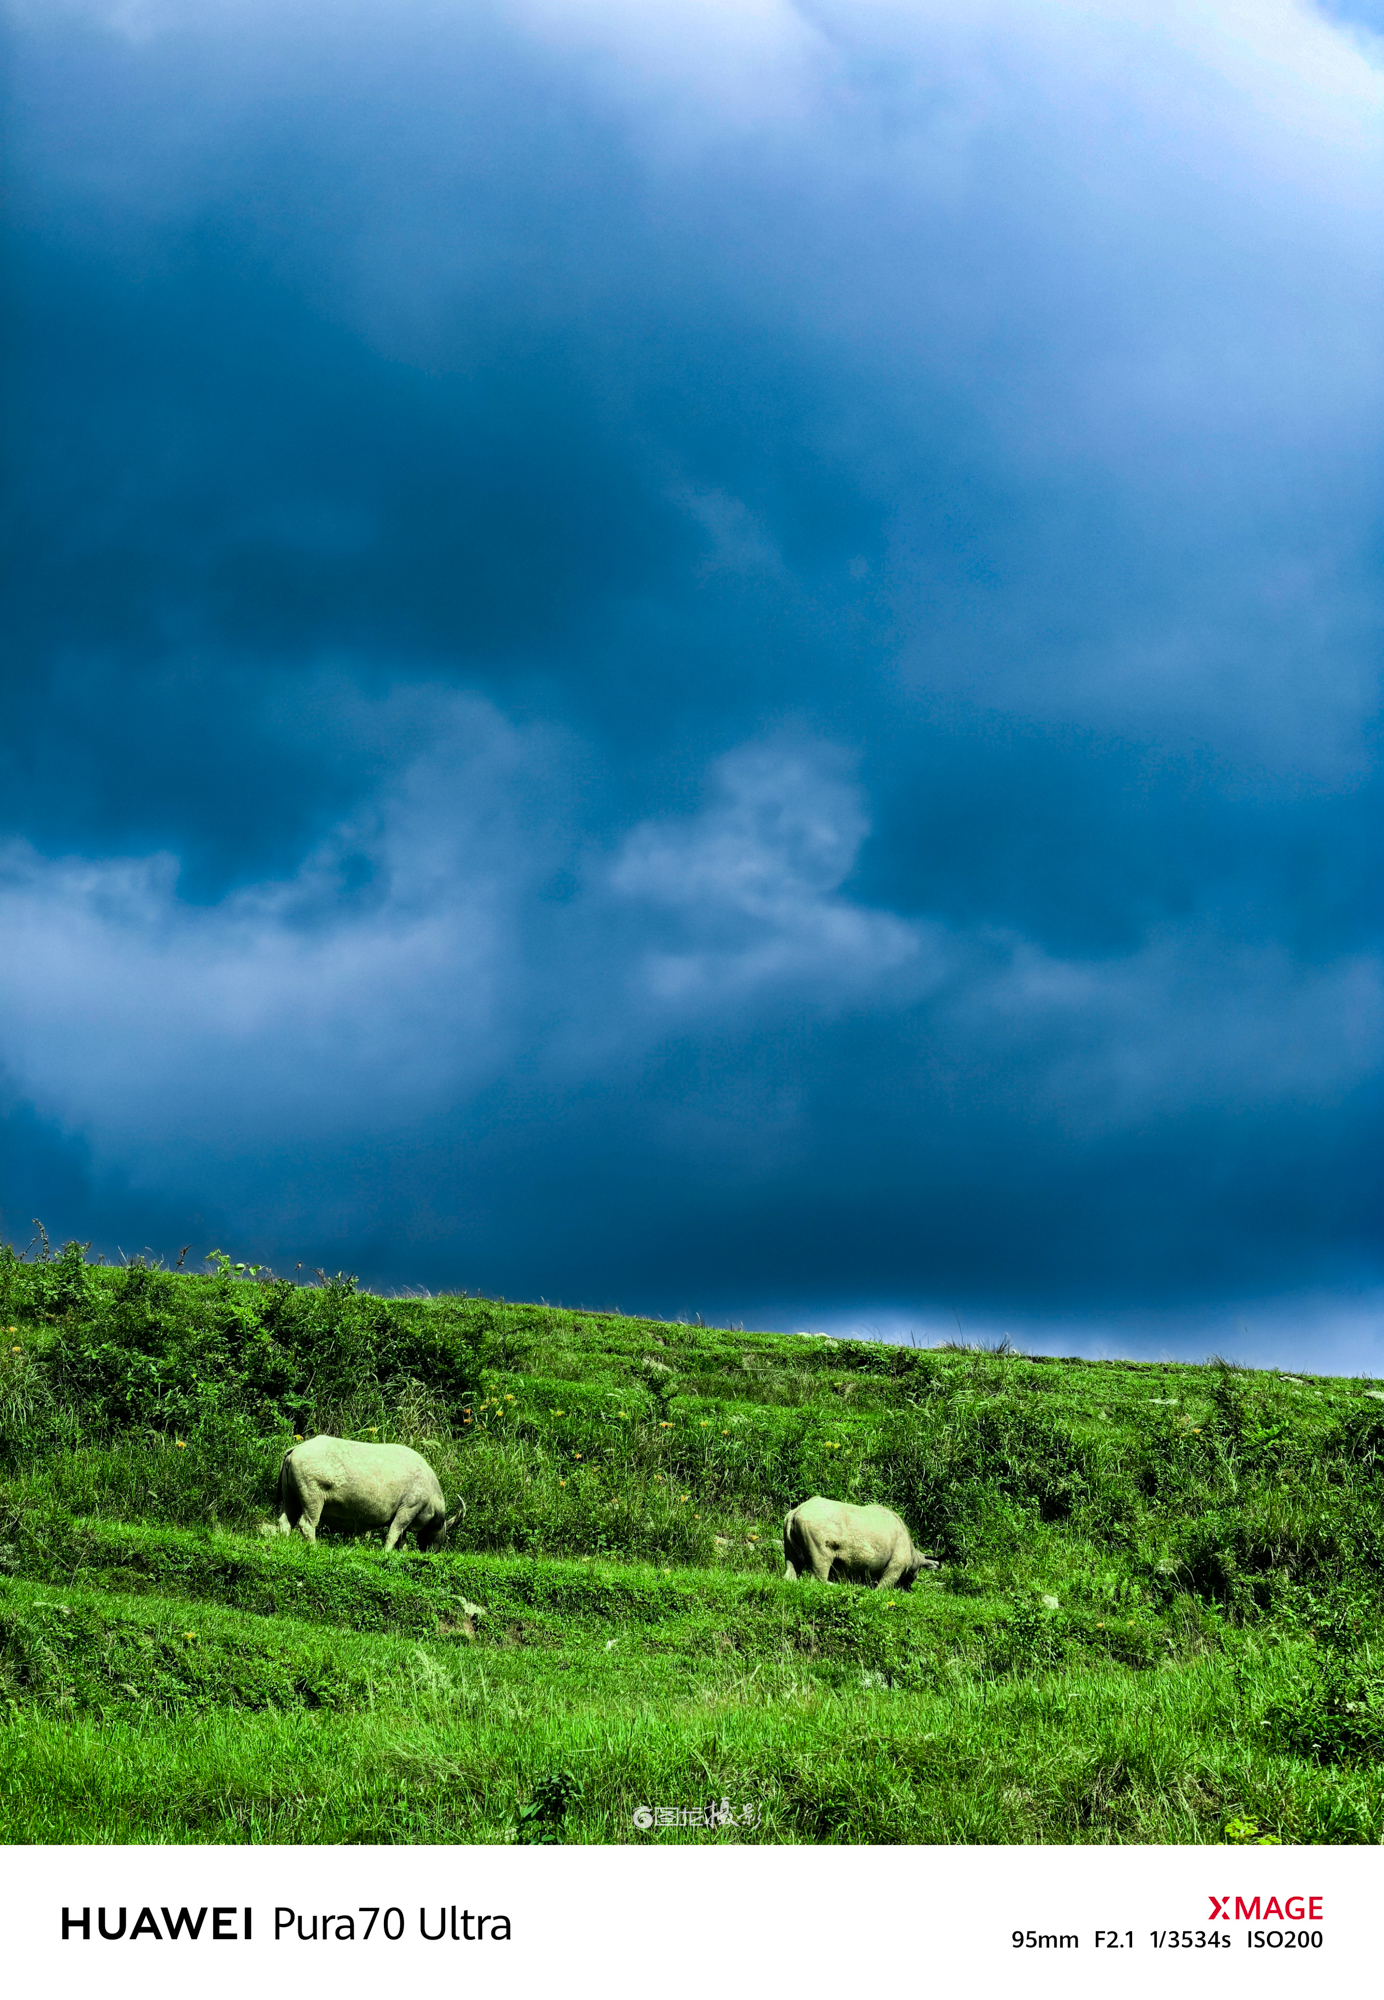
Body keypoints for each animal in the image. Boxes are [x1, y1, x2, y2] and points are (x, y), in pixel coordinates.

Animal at [276, 1435, 464, 1552]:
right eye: (442, 1532)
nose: (434, 1551)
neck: (431, 1496)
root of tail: (295, 1449)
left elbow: (401, 1539)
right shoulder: (409, 1508)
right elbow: (394, 1533)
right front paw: (386, 1552)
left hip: (291, 1498)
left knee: (285, 1521)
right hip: (312, 1499)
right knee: (307, 1524)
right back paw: (313, 1547)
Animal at [782, 1495, 938, 1591]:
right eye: (917, 1572)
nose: (908, 1588)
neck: (914, 1555)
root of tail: (796, 1511)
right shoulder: (896, 1566)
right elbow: (883, 1587)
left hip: (787, 1527)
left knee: (792, 1565)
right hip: (819, 1535)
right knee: (820, 1568)